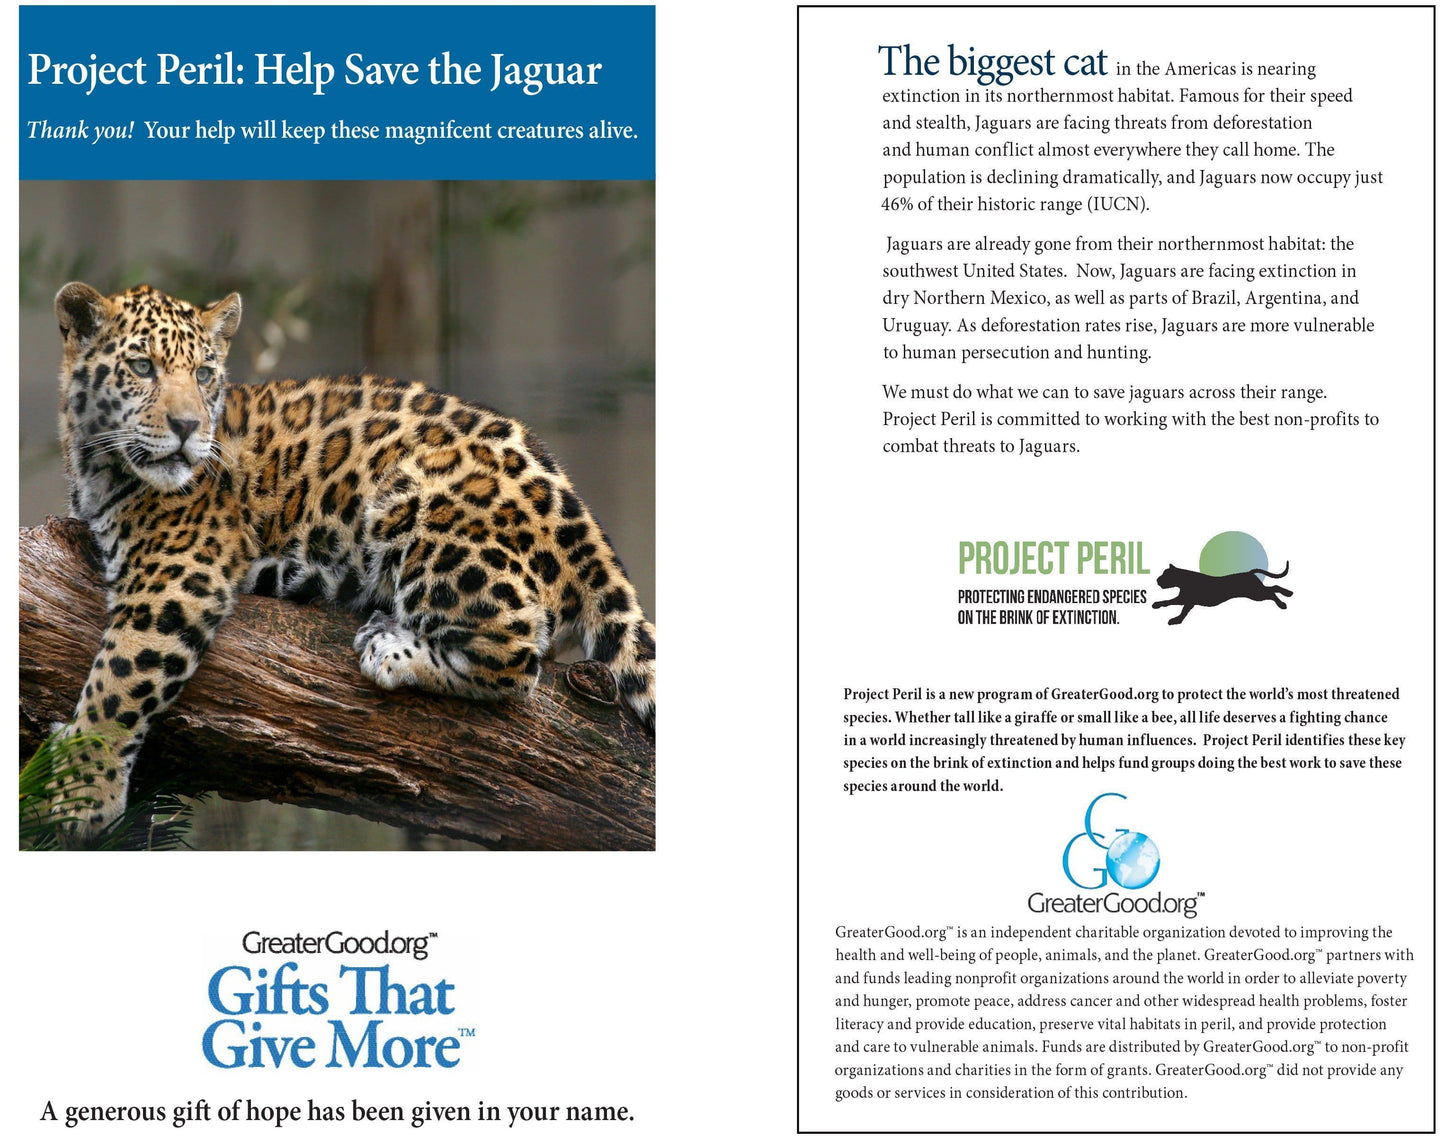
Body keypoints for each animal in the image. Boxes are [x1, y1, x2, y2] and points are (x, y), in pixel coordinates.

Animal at [45, 281, 655, 840]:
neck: (96, 467)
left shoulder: (179, 570)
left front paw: (83, 789)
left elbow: (121, 677)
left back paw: (392, 648)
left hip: (415, 500)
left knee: (518, 657)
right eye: (142, 367)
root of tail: (581, 516)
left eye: (203, 375)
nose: (188, 428)